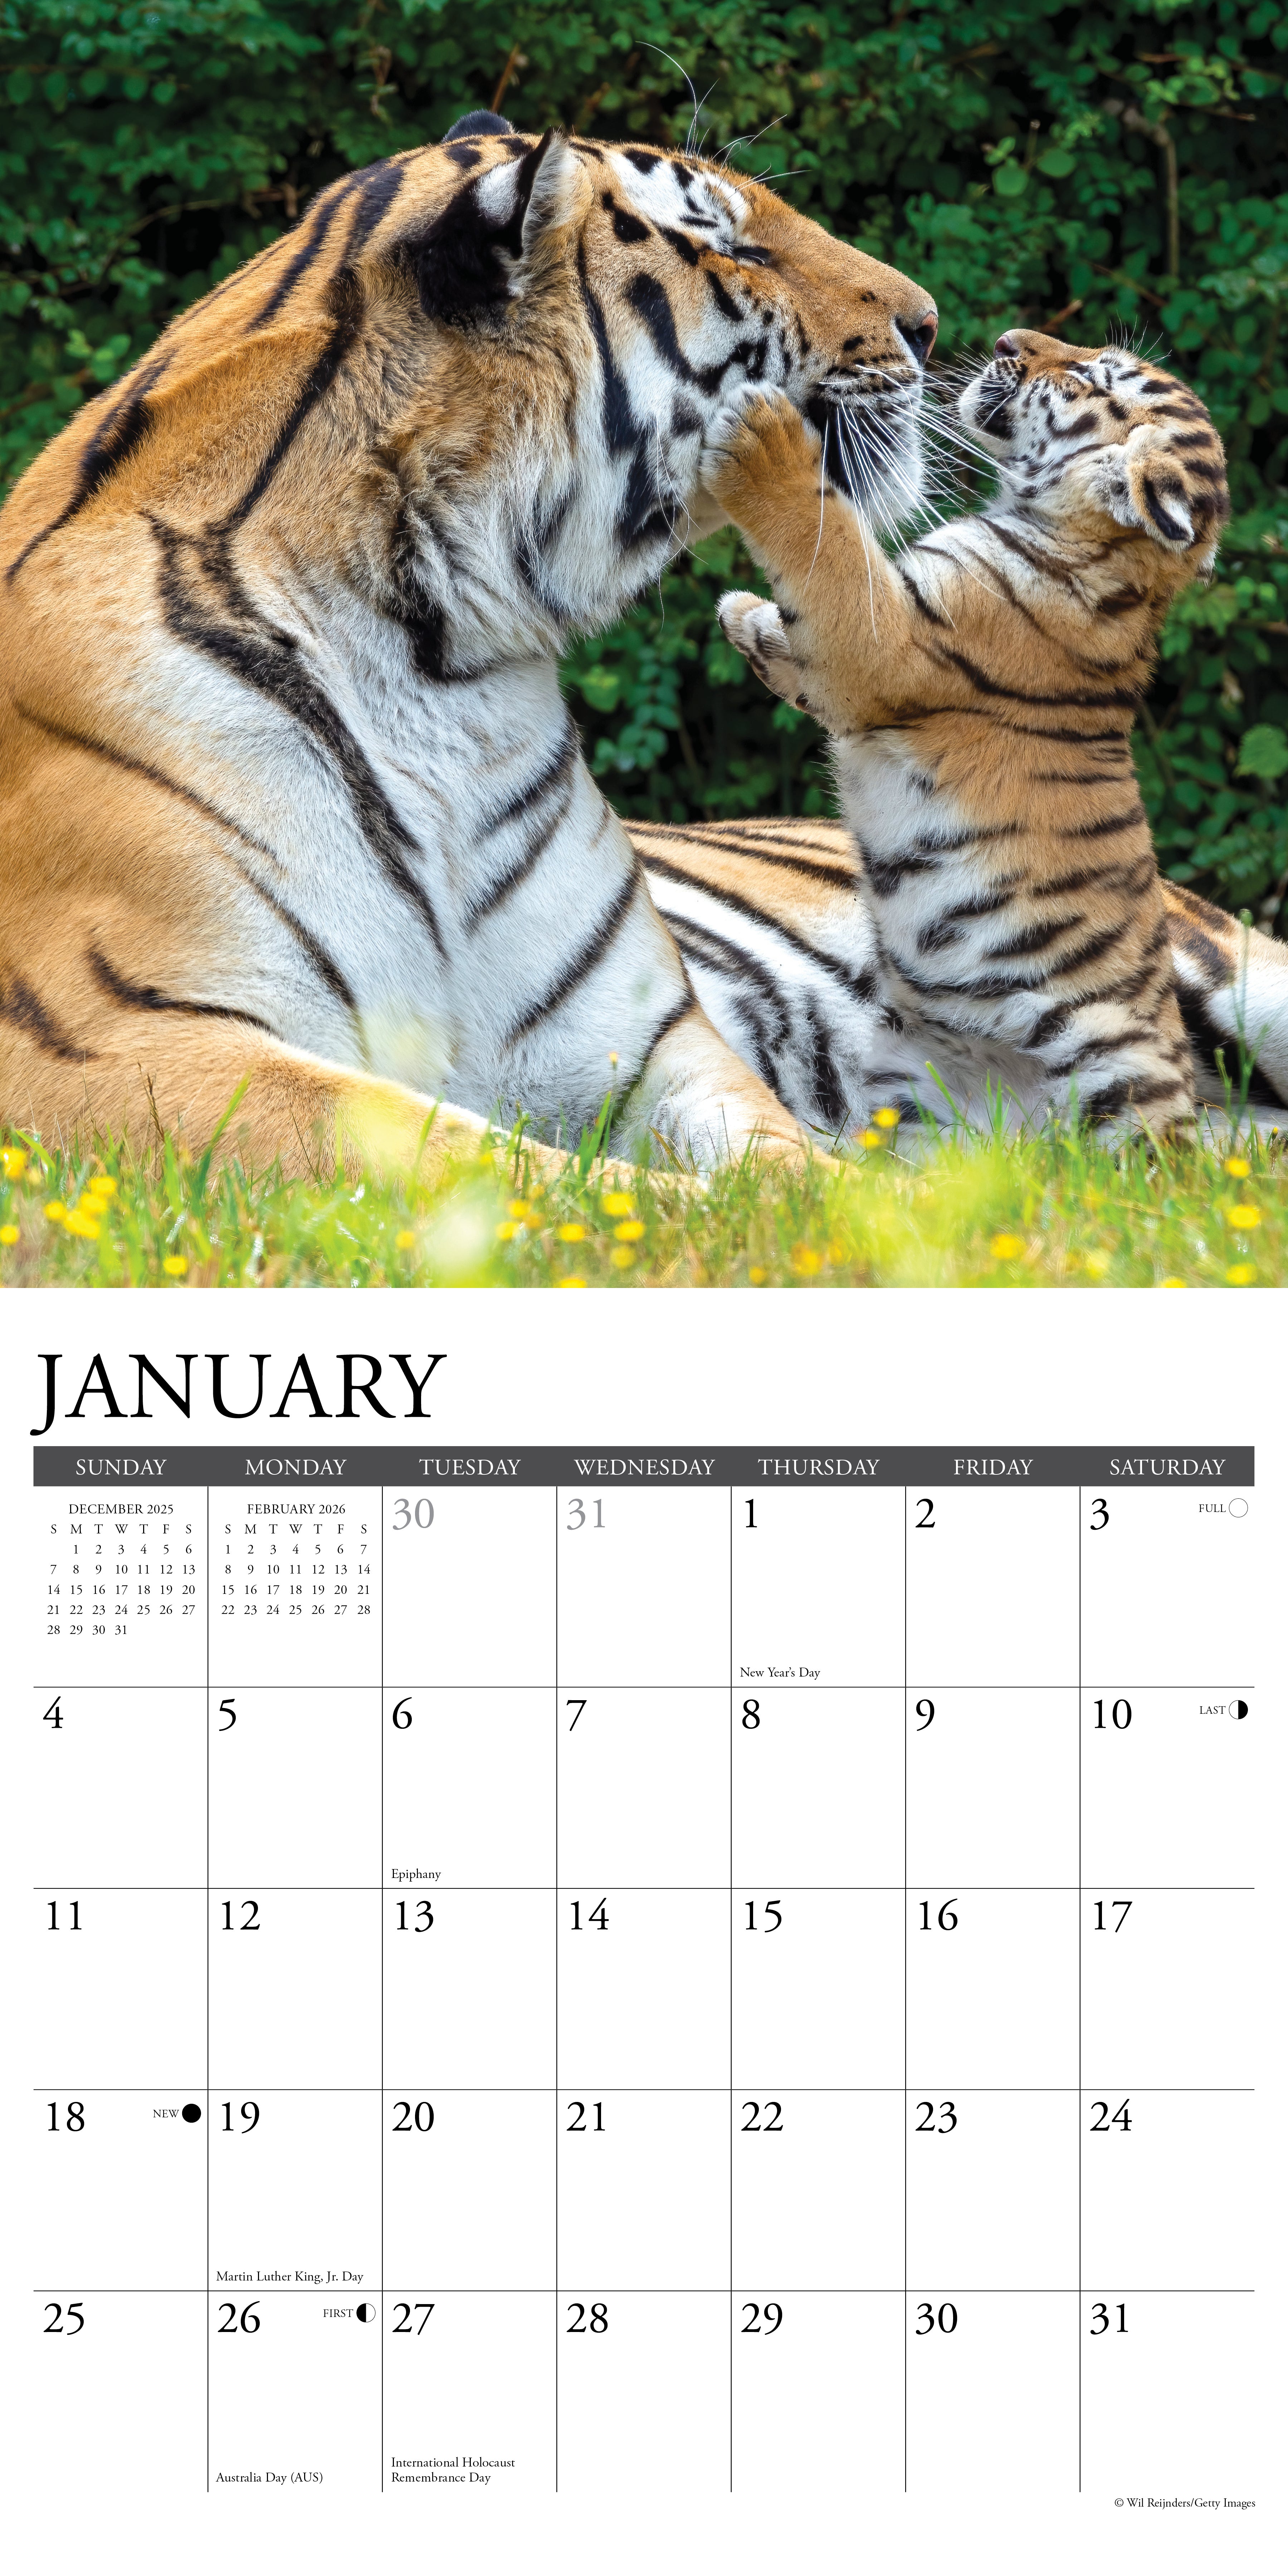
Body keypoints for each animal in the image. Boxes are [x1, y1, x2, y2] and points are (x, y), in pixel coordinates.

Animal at [0, 109, 938, 1178]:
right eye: (724, 242)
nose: (929, 323)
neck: (444, 661)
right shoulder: (103, 1038)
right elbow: (496, 1166)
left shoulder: (643, 1041)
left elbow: (792, 1172)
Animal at [633, 330, 1288, 1141]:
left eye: (1087, 376)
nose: (1009, 340)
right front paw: (746, 618)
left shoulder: (884, 640)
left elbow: (832, 547)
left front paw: (765, 437)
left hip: (1119, 1079)